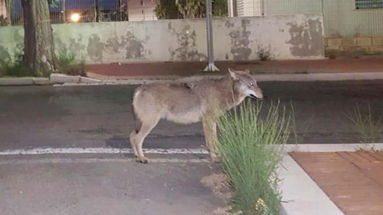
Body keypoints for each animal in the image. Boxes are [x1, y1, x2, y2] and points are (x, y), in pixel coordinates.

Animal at [130, 69, 262, 163]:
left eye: (256, 83)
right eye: (251, 84)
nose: (262, 95)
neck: (223, 92)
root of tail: (139, 89)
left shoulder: (212, 121)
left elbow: (215, 141)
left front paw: (219, 155)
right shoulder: (208, 120)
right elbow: (211, 142)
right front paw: (214, 158)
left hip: (143, 123)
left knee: (132, 136)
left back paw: (136, 155)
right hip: (150, 123)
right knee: (137, 138)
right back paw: (141, 158)